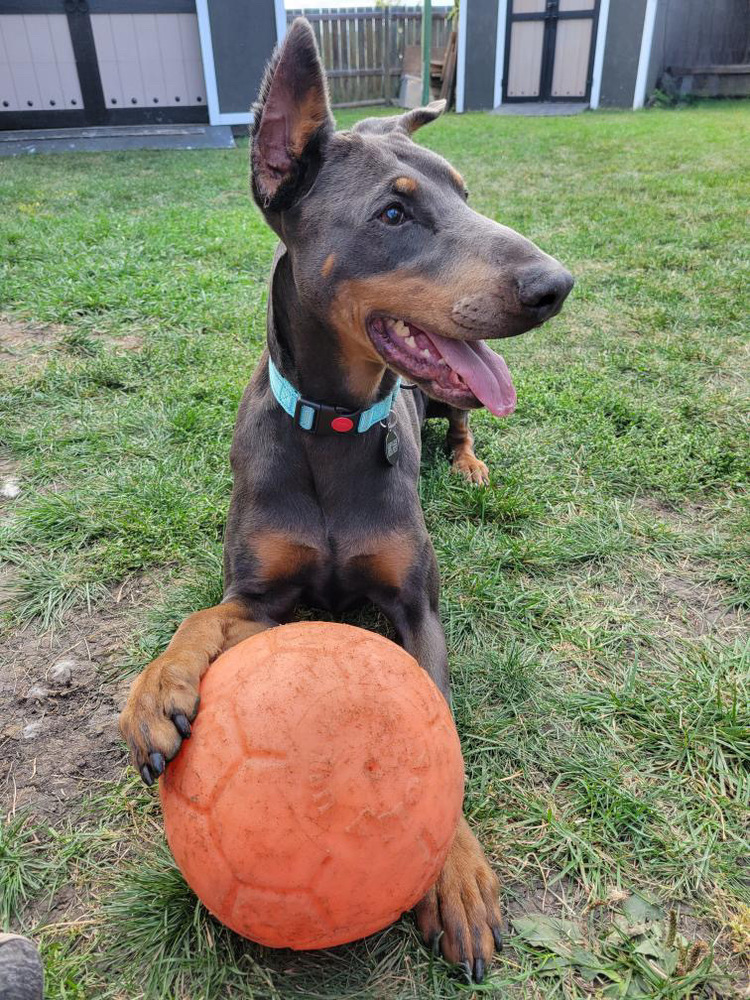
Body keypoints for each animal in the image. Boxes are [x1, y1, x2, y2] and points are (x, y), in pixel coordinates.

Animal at [120, 17, 572, 984]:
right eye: (393, 215)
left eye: (465, 195)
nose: (556, 285)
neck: (330, 427)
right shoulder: (262, 596)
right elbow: (200, 619)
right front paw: (155, 692)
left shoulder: (417, 606)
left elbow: (439, 731)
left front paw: (455, 871)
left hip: (448, 396)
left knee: (462, 422)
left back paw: (469, 465)